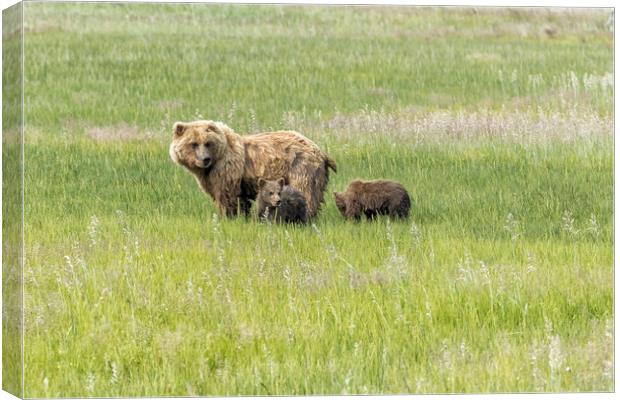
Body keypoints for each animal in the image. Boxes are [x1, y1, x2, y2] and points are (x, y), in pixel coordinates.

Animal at [167, 119, 336, 217]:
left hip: (301, 167)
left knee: (305, 191)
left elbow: (226, 196)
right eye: (193, 144)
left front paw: (227, 216)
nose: (205, 159)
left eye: (208, 143)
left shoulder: (227, 170)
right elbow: (241, 200)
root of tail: (320, 151)